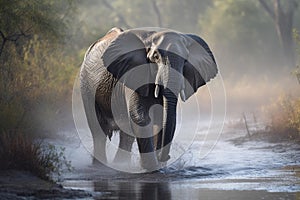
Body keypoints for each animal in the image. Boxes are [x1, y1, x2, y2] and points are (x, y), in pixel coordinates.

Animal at [79, 26, 216, 170]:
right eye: (155, 57)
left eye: (185, 60)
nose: (165, 156)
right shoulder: (133, 73)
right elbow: (140, 117)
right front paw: (150, 168)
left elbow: (160, 118)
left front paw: (156, 166)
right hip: (86, 86)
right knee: (98, 130)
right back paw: (101, 167)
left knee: (126, 134)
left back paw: (121, 164)